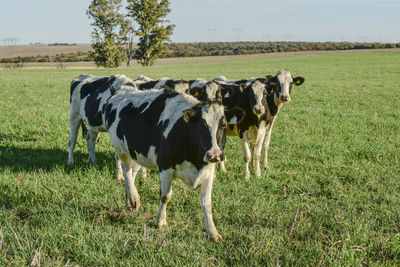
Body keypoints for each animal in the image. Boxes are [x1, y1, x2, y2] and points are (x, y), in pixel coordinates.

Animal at [104, 88, 245, 243]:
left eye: (223, 125)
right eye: (202, 126)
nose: (214, 155)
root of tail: (120, 92)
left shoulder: (208, 171)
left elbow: (207, 204)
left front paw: (213, 232)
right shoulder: (165, 167)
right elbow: (165, 196)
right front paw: (160, 221)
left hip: (137, 152)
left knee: (132, 173)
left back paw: (130, 201)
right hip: (121, 149)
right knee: (127, 172)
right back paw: (133, 198)